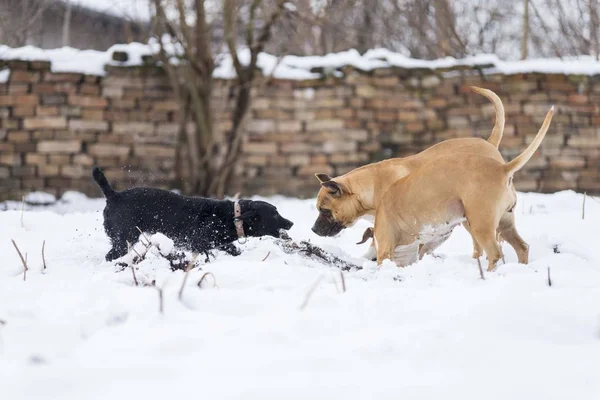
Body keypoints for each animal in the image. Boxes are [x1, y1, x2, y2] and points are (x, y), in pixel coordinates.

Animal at [91, 167, 292, 260]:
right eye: (275, 214)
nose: (291, 223)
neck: (231, 216)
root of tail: (114, 195)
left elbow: (233, 250)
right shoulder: (197, 244)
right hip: (124, 238)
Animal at [312, 86, 528, 262]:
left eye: (325, 210)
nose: (313, 229)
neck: (372, 185)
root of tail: (490, 143)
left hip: (472, 217)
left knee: (483, 245)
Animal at [372, 106, 556, 270]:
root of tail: (502, 169)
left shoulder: (385, 247)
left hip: (481, 225)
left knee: (495, 253)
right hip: (505, 224)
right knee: (522, 247)